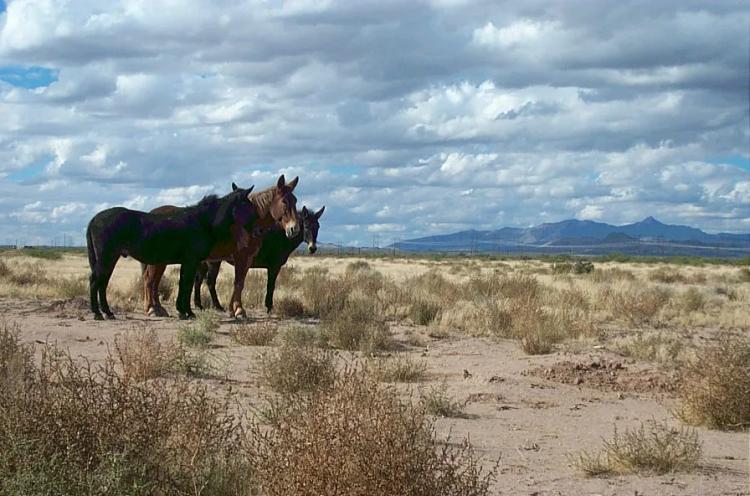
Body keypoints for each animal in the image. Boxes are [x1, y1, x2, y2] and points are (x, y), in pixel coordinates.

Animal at [86, 184, 258, 320]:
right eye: (249, 206)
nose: (258, 231)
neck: (203, 221)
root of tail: (94, 218)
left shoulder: (189, 263)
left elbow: (185, 284)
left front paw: (183, 311)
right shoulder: (191, 261)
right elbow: (186, 285)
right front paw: (187, 312)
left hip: (110, 258)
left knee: (103, 282)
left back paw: (108, 313)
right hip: (107, 258)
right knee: (95, 281)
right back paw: (98, 313)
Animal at [142, 176, 302, 320]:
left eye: (295, 201)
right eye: (284, 201)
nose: (294, 229)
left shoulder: (247, 259)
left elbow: (239, 282)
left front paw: (233, 309)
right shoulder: (241, 257)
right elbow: (238, 283)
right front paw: (239, 310)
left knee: (153, 281)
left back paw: (158, 308)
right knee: (150, 280)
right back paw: (152, 309)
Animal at [191, 205, 324, 314]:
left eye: (318, 227)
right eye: (306, 226)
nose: (312, 248)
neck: (282, 235)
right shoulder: (274, 266)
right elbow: (271, 285)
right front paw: (269, 307)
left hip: (203, 263)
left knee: (198, 280)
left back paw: (199, 305)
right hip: (213, 262)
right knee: (210, 281)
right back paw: (217, 306)